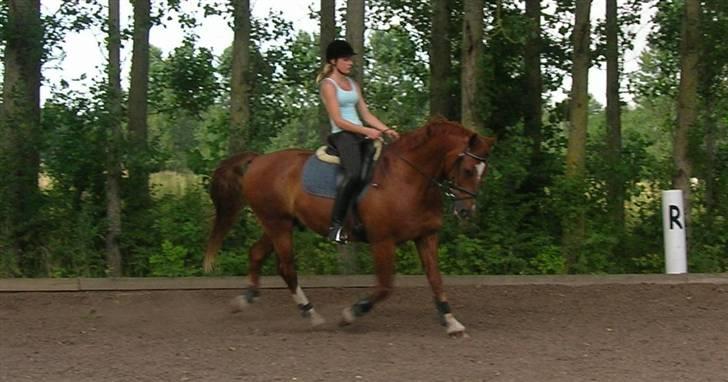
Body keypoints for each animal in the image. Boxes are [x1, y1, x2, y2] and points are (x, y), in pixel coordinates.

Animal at [203, 118, 494, 336]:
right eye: (468, 169)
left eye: (484, 172)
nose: (466, 211)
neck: (409, 179)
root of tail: (259, 159)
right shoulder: (382, 241)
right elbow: (385, 286)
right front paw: (350, 314)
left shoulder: (426, 237)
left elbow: (435, 279)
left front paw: (451, 321)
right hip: (278, 224)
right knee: (286, 268)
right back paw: (311, 314)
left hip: (280, 223)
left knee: (256, 253)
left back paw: (246, 298)